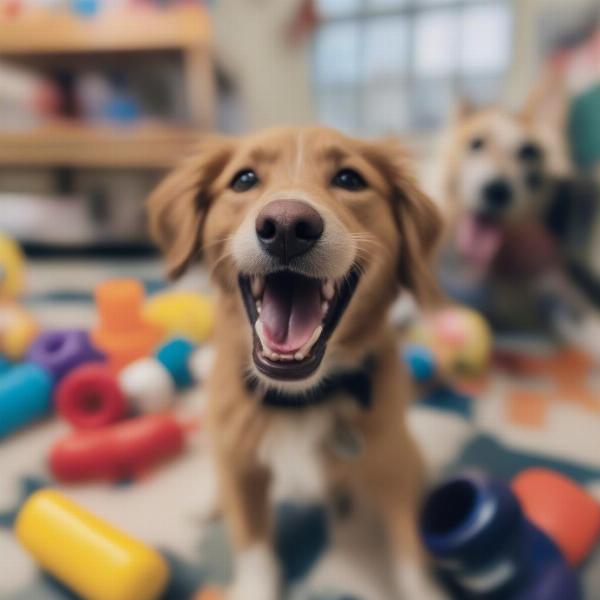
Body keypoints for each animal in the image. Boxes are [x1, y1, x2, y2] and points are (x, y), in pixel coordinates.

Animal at [148, 126, 442, 600]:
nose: (286, 225)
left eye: (350, 179)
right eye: (244, 179)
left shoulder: (392, 466)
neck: (297, 397)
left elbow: (411, 555)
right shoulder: (244, 472)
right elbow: (252, 548)